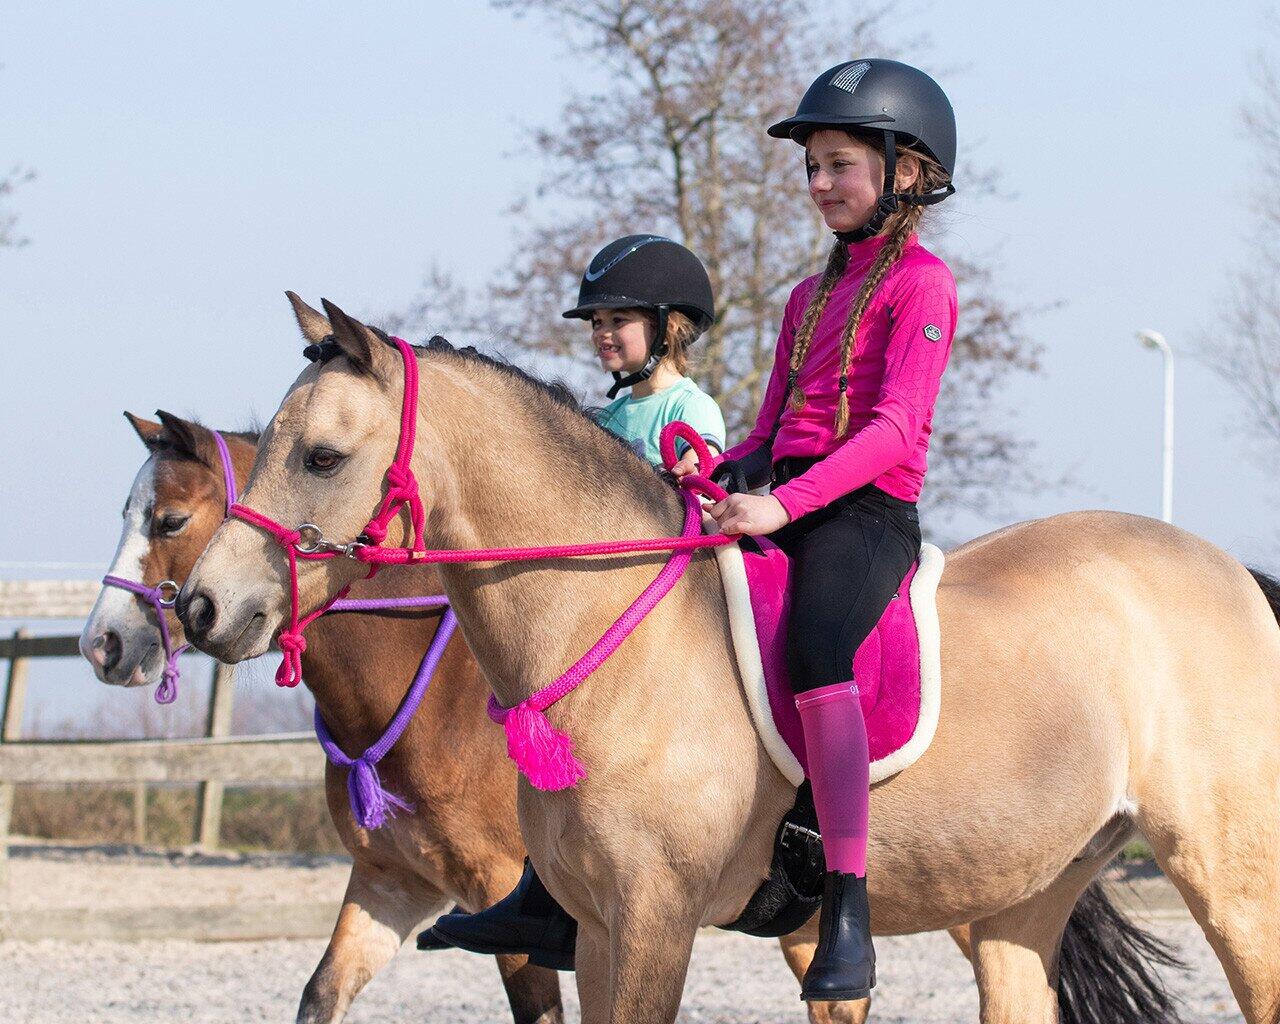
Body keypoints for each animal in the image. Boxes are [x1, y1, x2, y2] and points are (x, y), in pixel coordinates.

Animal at [177, 298, 1260, 1024]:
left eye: (321, 456)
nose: (202, 606)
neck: (612, 638)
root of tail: (1229, 568)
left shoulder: (655, 920)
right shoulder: (592, 925)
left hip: (1229, 875)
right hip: (1020, 899)